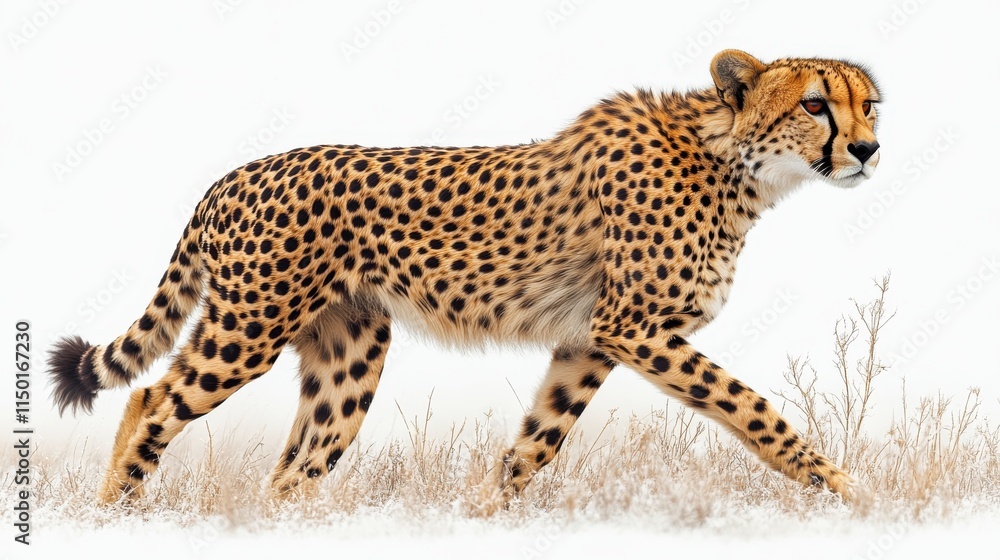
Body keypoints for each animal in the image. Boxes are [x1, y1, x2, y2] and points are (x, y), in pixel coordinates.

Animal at [47, 49, 881, 506]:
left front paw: (483, 513)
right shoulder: (634, 328)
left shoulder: (589, 341)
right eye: (815, 104)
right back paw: (116, 510)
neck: (733, 163)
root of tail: (234, 174)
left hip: (351, 348)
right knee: (153, 400)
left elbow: (537, 442)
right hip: (248, 326)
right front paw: (843, 489)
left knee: (297, 465)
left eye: (870, 106)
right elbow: (752, 409)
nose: (868, 150)